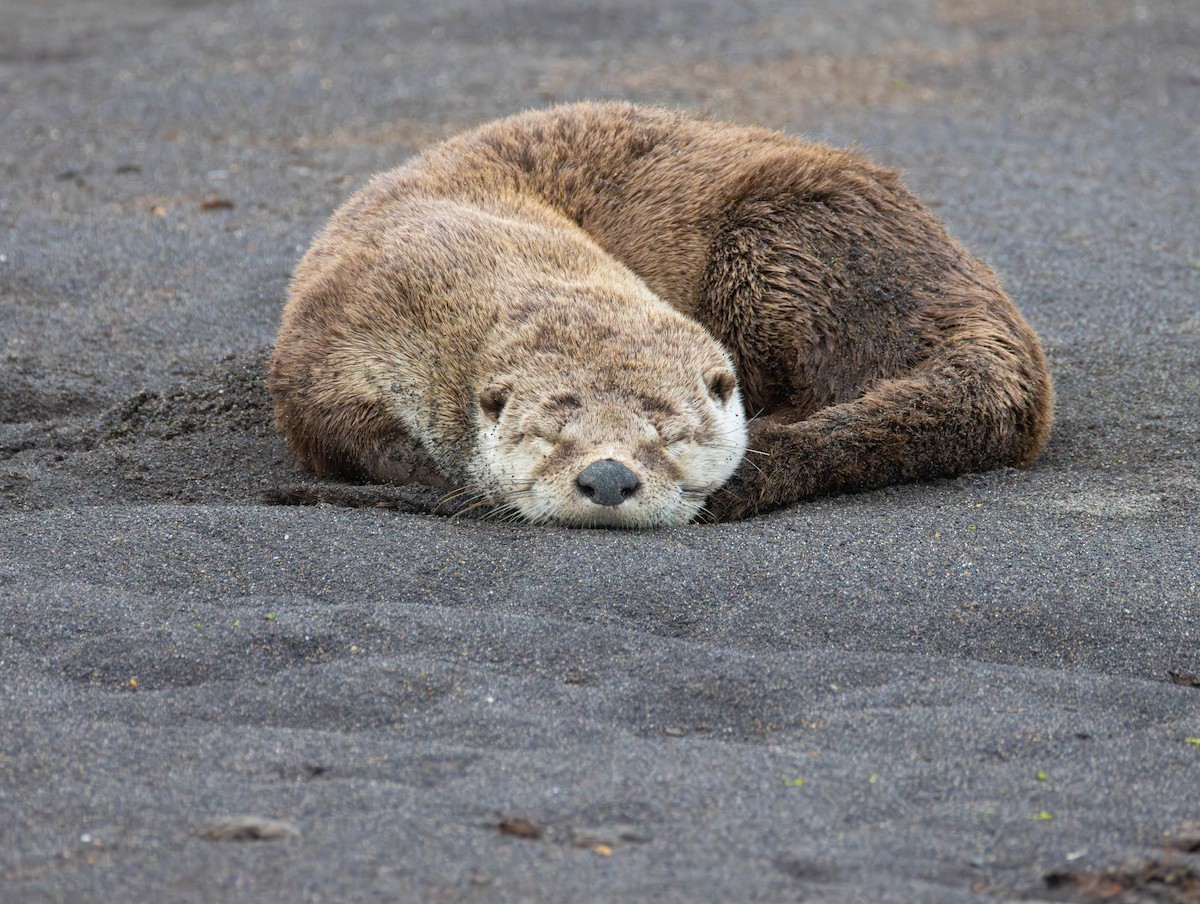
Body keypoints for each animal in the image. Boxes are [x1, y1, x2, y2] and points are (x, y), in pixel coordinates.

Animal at [268, 102, 1052, 527]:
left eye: (667, 431)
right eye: (551, 432)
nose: (610, 479)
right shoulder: (324, 341)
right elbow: (335, 432)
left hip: (786, 246)